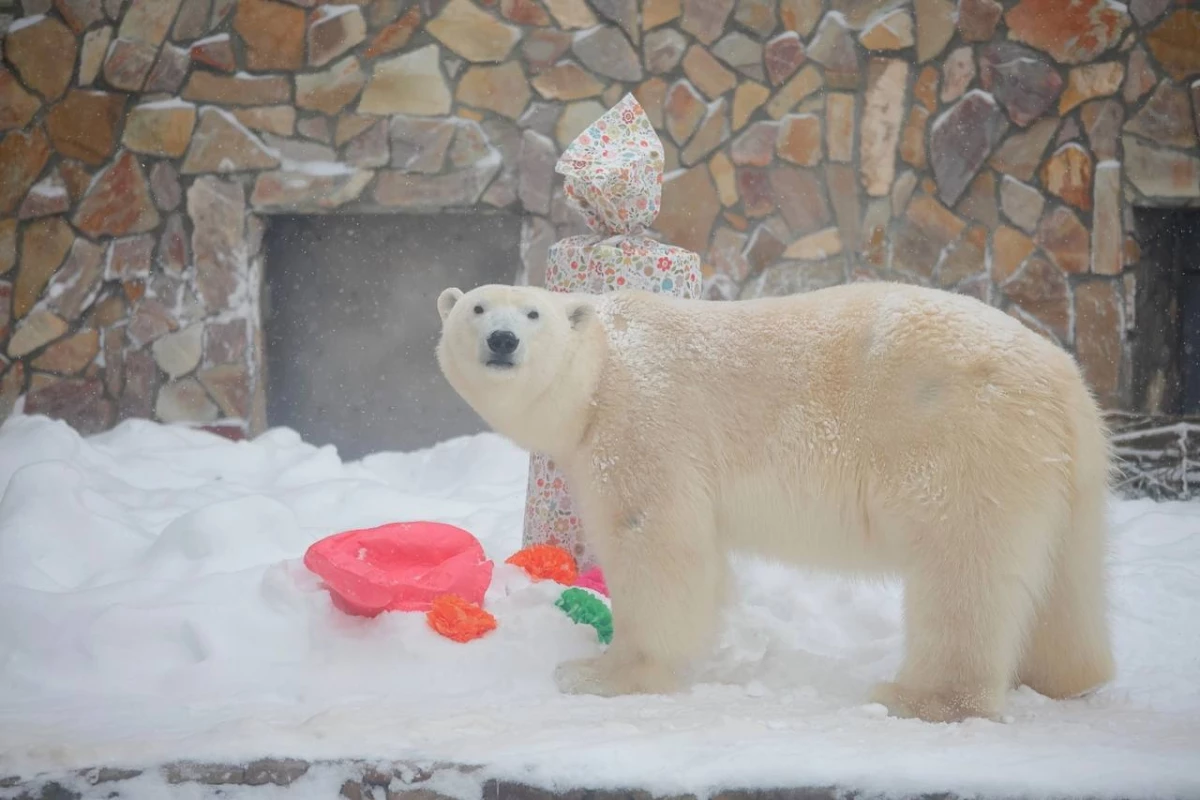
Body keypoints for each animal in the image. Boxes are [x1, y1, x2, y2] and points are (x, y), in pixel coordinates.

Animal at [432, 283, 1113, 724]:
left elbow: (654, 538)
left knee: (962, 568)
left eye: (533, 312)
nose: (502, 339)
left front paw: (601, 675)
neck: (603, 368)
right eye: (476, 307)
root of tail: (1061, 378)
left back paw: (922, 699)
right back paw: (1059, 678)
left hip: (959, 439)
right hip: (1063, 472)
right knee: (1062, 578)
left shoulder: (643, 420)